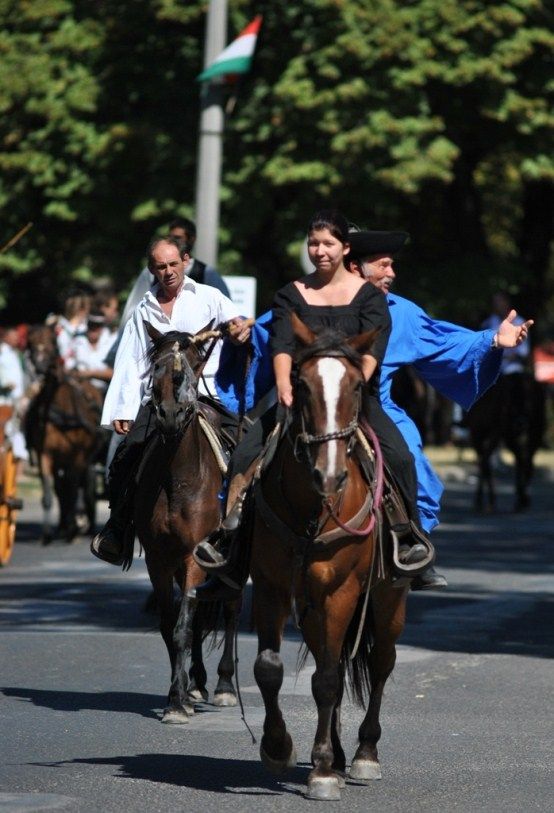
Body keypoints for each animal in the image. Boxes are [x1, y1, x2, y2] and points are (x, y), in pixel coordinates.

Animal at [25, 324, 103, 543]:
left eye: (52, 341)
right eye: (30, 343)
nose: (40, 367)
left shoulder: (77, 456)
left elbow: (73, 490)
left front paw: (72, 528)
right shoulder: (44, 454)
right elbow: (49, 494)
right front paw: (47, 533)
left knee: (76, 488)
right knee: (61, 490)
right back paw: (62, 525)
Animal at [133, 321, 239, 723]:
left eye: (193, 365)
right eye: (156, 366)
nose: (168, 414)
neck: (178, 478)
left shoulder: (196, 555)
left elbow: (184, 626)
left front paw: (177, 703)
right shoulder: (160, 560)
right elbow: (171, 626)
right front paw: (178, 695)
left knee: (230, 610)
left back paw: (223, 686)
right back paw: (196, 685)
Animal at [249, 314, 410, 801]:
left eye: (357, 386)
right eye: (301, 385)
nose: (330, 474)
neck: (311, 507)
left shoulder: (339, 592)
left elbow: (326, 680)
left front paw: (320, 771)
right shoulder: (272, 588)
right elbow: (271, 668)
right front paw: (277, 747)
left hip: (386, 599)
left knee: (379, 664)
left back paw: (362, 755)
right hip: (314, 606)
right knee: (332, 662)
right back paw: (338, 756)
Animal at [464, 372, 543, 512]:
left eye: (529, 401)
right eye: (509, 400)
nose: (521, 423)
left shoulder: (495, 432)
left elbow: (484, 462)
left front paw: (489, 500)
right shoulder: (476, 434)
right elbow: (484, 463)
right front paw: (484, 500)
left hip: (535, 430)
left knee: (526, 462)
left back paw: (523, 498)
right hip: (513, 435)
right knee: (521, 461)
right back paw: (520, 498)